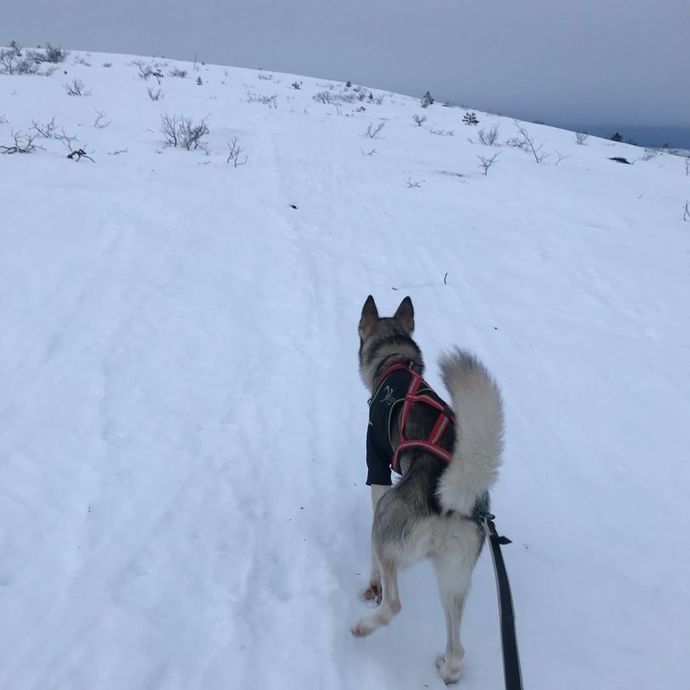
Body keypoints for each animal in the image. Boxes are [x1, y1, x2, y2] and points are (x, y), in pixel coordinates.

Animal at [352, 294, 502, 684]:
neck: (395, 364)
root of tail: (452, 501)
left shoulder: (377, 467)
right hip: (453, 580)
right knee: (458, 651)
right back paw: (447, 670)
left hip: (388, 527)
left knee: (393, 604)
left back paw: (362, 626)